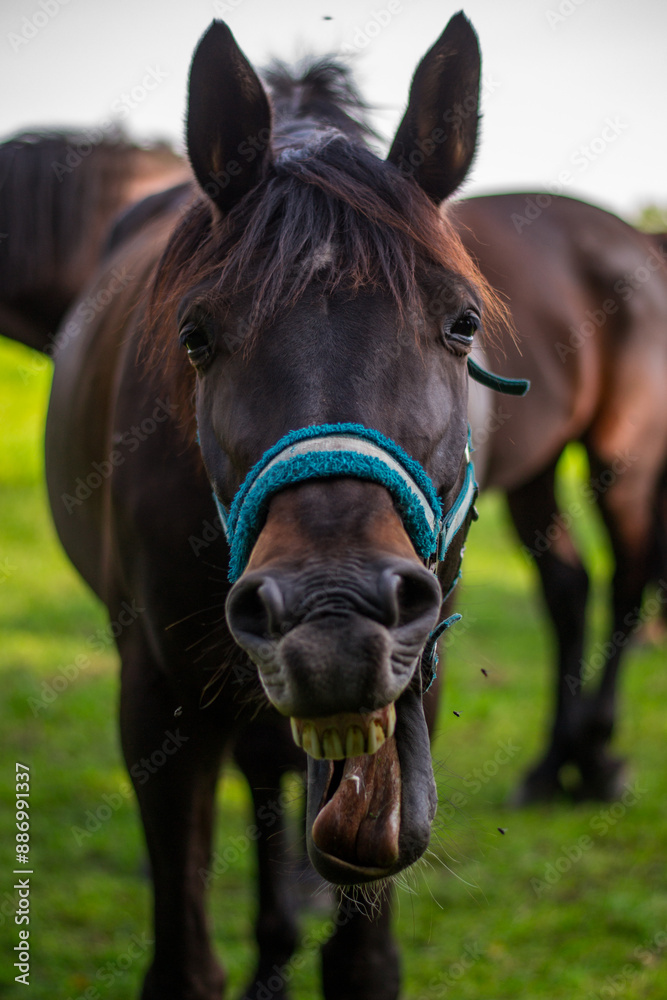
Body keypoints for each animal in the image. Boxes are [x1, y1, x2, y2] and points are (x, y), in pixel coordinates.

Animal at [36, 16, 525, 1000]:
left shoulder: (414, 675)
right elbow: (185, 965)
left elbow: (362, 960)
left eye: (462, 324)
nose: (334, 614)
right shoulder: (159, 695)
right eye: (195, 335)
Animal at [450, 192, 667, 803]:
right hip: (538, 473)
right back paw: (557, 764)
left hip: (623, 460)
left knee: (627, 578)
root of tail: (639, 240)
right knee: (571, 590)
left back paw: (597, 753)